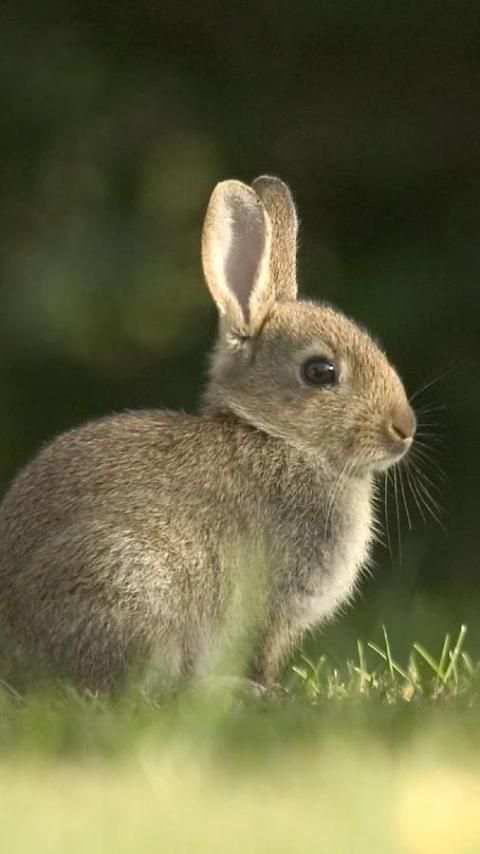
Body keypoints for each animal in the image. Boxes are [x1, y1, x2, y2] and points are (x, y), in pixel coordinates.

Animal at [0, 175, 416, 693]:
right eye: (321, 372)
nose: (404, 429)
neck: (277, 437)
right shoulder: (271, 607)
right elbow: (261, 653)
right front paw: (267, 691)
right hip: (127, 582)